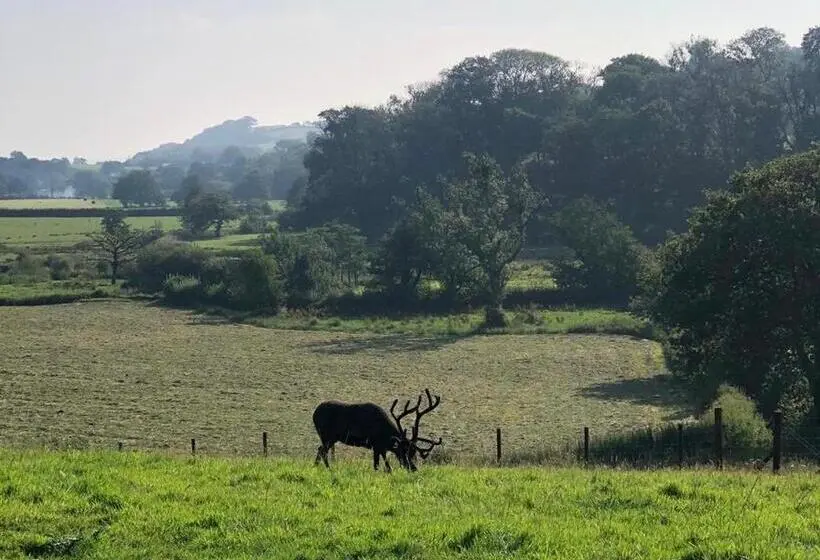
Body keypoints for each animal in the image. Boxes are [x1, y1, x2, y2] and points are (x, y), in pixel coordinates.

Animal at [312, 388, 443, 473]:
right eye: (402, 451)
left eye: (413, 453)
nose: (413, 468)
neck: (385, 434)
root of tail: (314, 414)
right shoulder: (376, 445)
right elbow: (377, 466)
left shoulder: (381, 447)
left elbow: (387, 466)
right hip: (327, 436)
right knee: (322, 451)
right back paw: (328, 469)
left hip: (329, 438)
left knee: (320, 449)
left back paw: (316, 467)